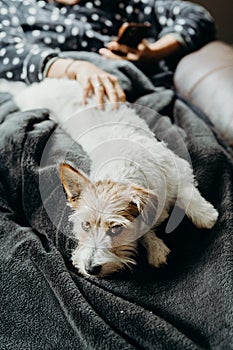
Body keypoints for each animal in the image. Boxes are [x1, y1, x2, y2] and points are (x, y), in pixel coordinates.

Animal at [3, 78, 218, 276]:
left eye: (116, 229)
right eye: (85, 225)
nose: (90, 269)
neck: (123, 169)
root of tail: (45, 84)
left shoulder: (175, 167)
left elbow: (186, 192)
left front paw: (204, 214)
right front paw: (155, 246)